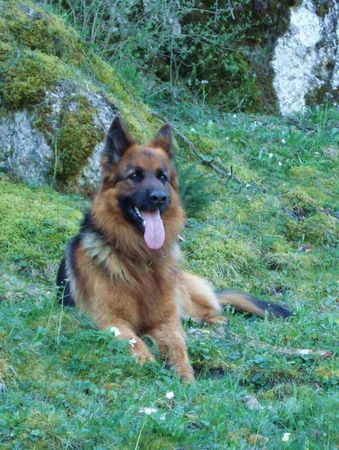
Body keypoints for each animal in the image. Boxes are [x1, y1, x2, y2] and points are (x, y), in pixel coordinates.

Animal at [56, 114, 292, 382]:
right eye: (135, 176)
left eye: (162, 177)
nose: (160, 198)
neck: (140, 258)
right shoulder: (112, 320)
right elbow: (136, 343)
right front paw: (151, 368)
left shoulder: (165, 321)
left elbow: (178, 346)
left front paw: (185, 376)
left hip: (186, 303)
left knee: (213, 311)